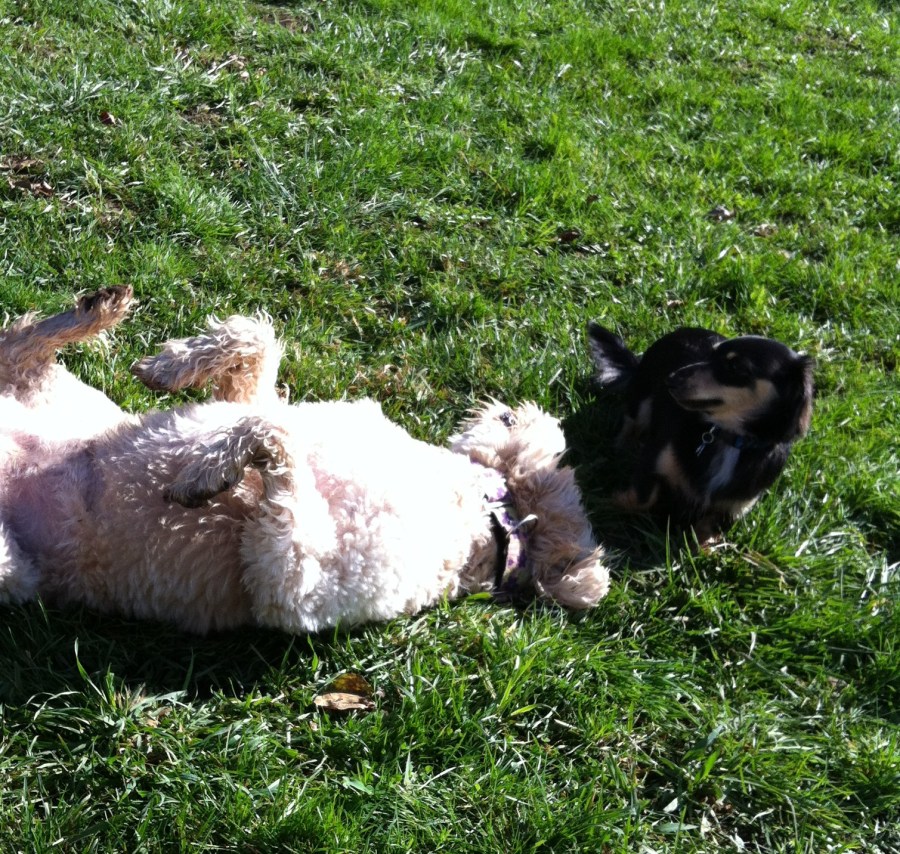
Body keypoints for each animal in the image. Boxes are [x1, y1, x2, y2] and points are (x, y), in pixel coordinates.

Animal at [0, 288, 609, 634]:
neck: (478, 519)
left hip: (15, 570)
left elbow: (274, 434)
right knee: (17, 344)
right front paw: (170, 366)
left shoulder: (291, 578)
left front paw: (204, 472)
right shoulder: (253, 399)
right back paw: (99, 310)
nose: (509, 409)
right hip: (52, 391)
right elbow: (257, 340)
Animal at [587, 322, 813, 541]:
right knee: (632, 422)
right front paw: (608, 504)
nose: (670, 379)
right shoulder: (653, 459)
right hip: (641, 399)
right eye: (708, 356)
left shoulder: (734, 508)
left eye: (735, 366)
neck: (730, 438)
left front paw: (704, 547)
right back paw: (623, 447)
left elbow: (706, 531)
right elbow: (643, 498)